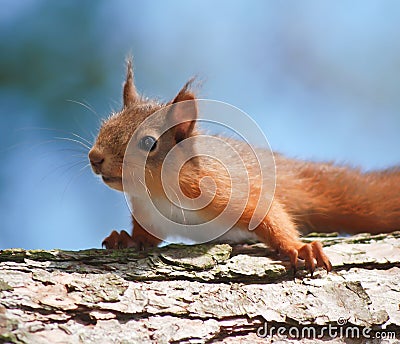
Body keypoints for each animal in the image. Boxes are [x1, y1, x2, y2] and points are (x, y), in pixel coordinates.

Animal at [88, 58, 400, 274]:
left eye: (148, 143)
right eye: (105, 125)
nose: (94, 157)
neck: (159, 193)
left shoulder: (228, 188)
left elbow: (268, 212)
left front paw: (299, 247)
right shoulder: (150, 216)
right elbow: (147, 237)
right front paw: (126, 239)